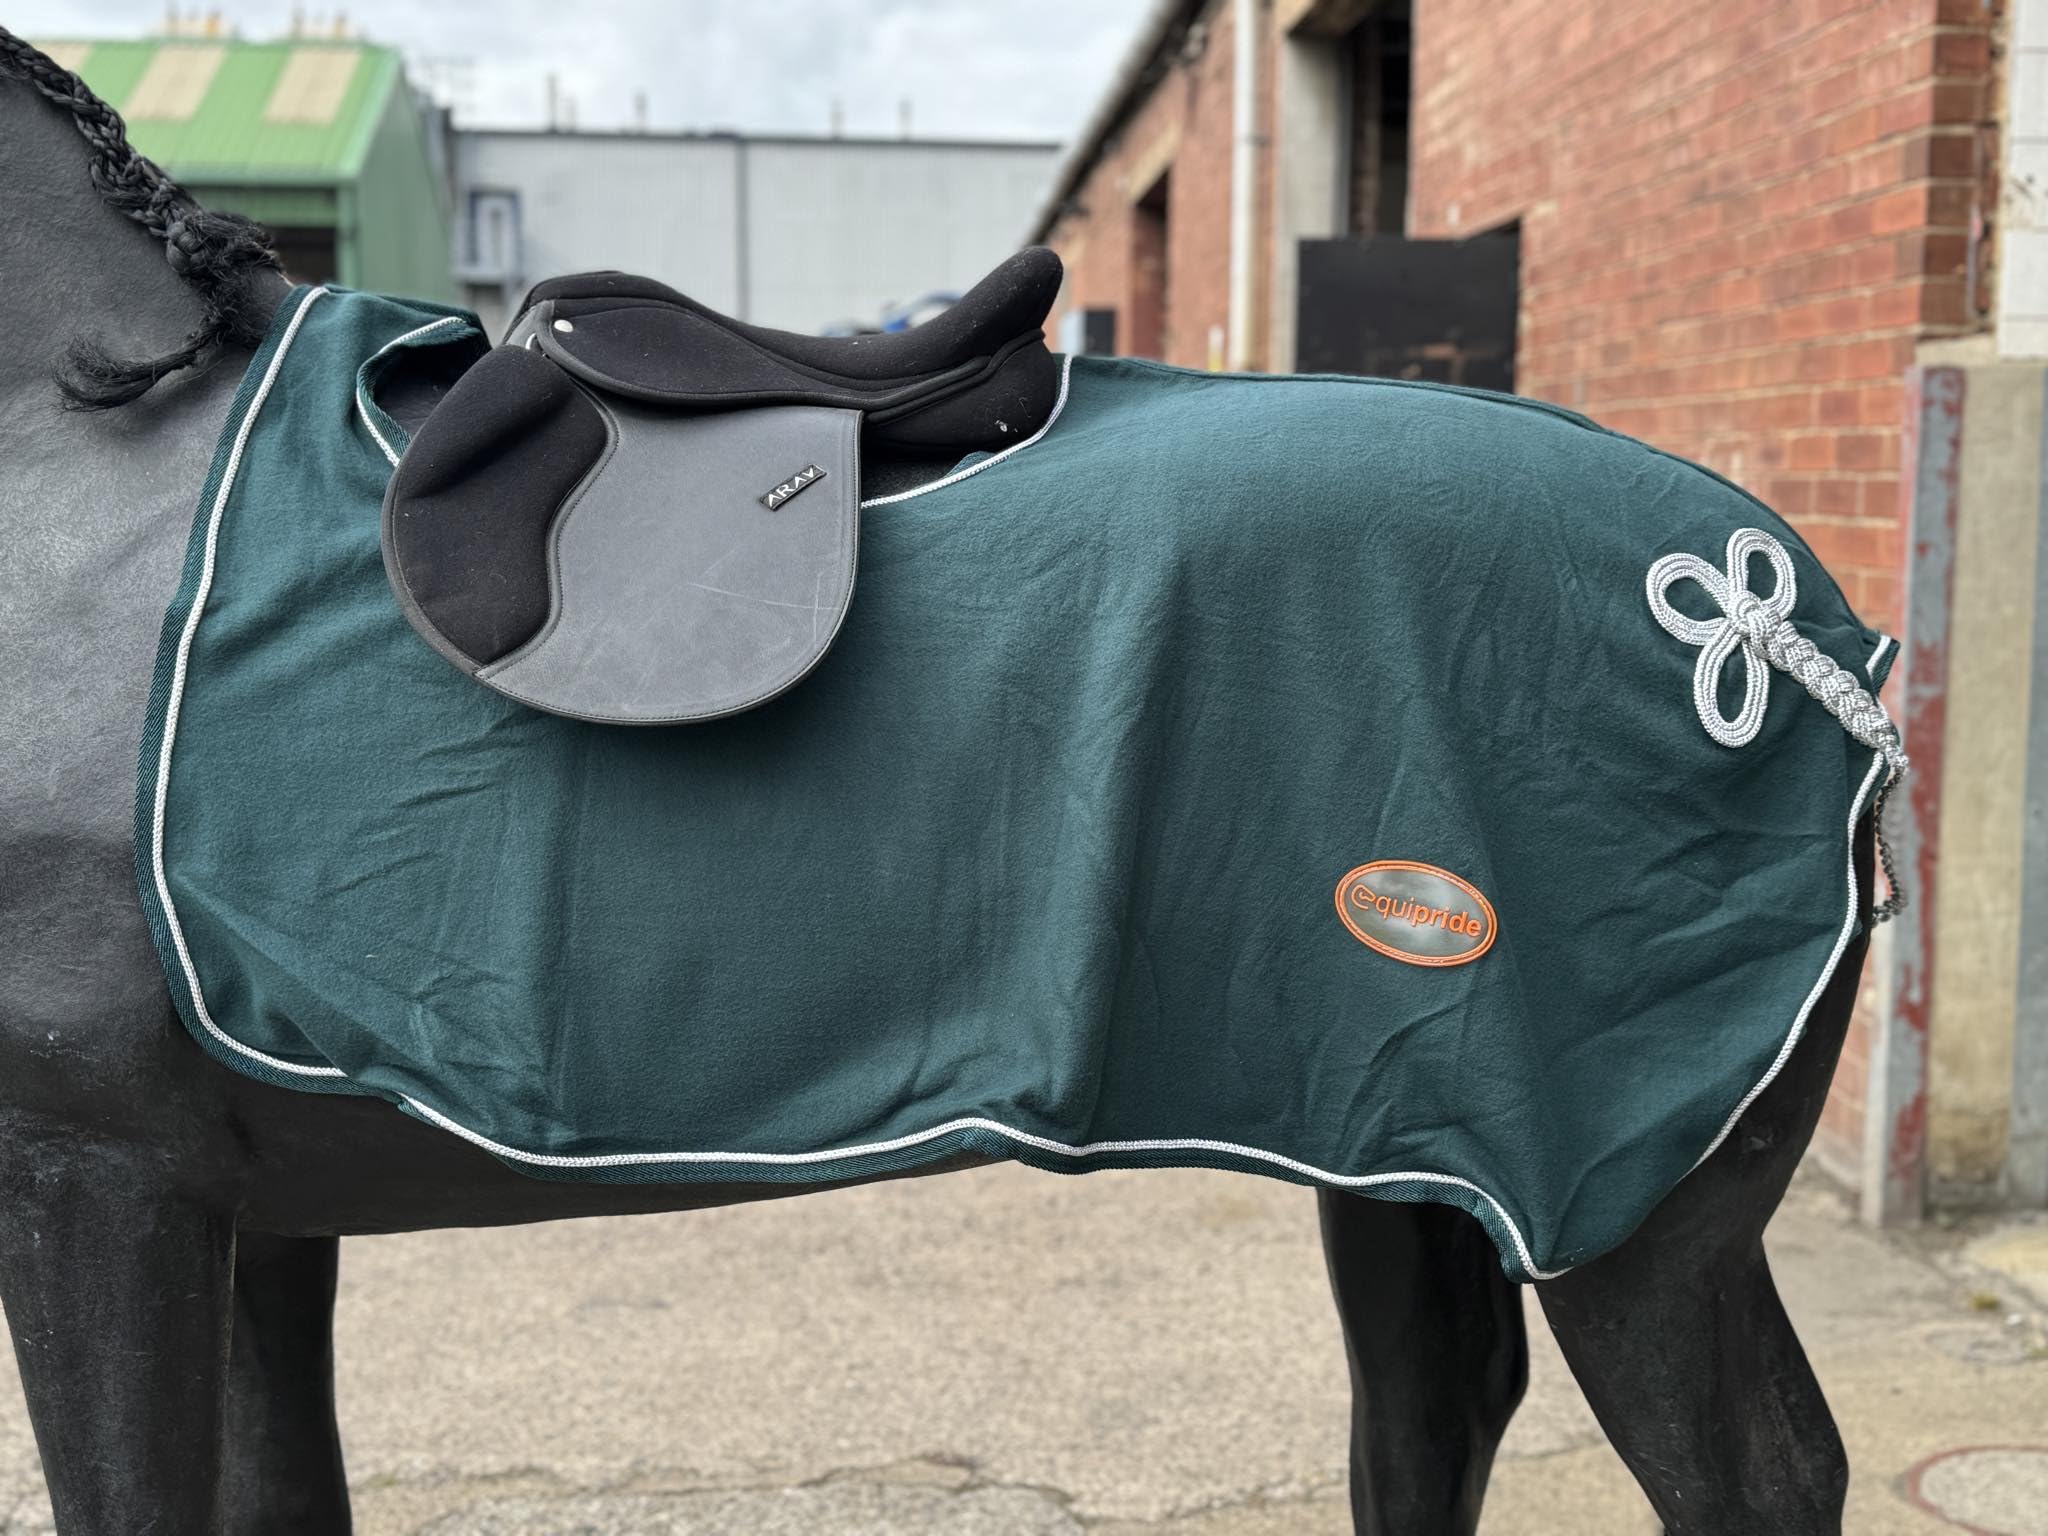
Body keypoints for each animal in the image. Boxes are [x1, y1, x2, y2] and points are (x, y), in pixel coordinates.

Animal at [0, 34, 1873, 1535]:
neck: (89, 468)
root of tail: (1788, 617)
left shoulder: (97, 1181)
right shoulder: (247, 1205)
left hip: (1637, 1218)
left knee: (1756, 1476)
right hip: (1414, 1144)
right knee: (1426, 1426)